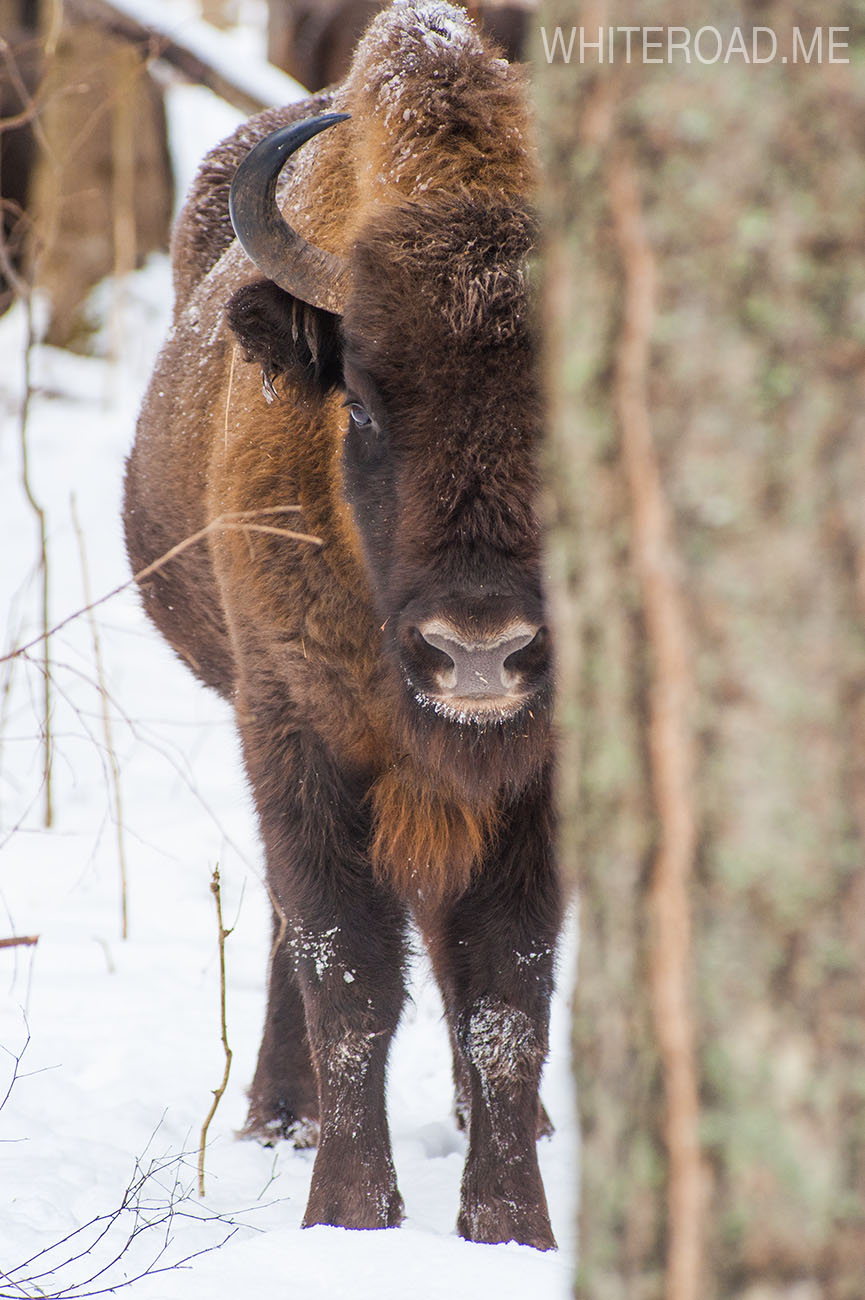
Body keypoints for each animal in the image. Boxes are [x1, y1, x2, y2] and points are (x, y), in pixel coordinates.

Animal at [124, 2, 564, 1258]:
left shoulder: (538, 774)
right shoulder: (299, 734)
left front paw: (510, 1227)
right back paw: (281, 1112)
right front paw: (351, 1214)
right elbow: (347, 968)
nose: (479, 648)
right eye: (360, 401)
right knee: (291, 925)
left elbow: (504, 986)